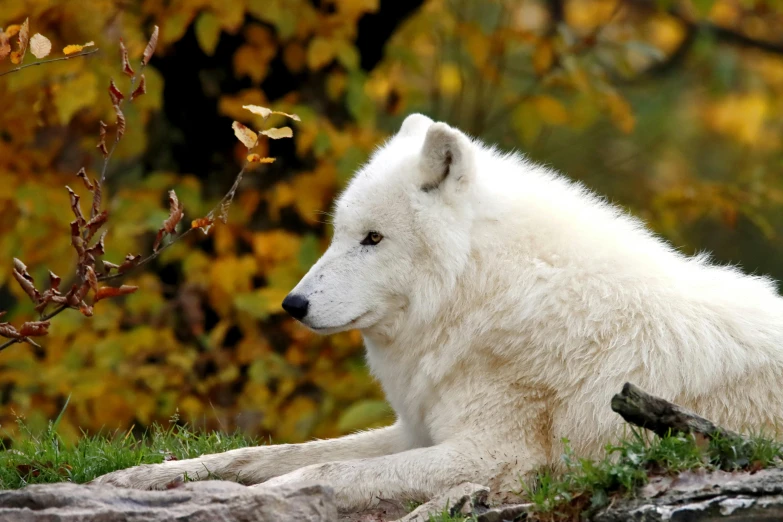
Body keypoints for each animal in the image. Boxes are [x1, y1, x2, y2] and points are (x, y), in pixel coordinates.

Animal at [95, 116, 783, 510]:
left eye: (373, 239)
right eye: (340, 234)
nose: (293, 305)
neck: (484, 294)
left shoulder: (497, 456)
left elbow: (324, 469)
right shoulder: (417, 429)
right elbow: (262, 454)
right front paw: (139, 480)